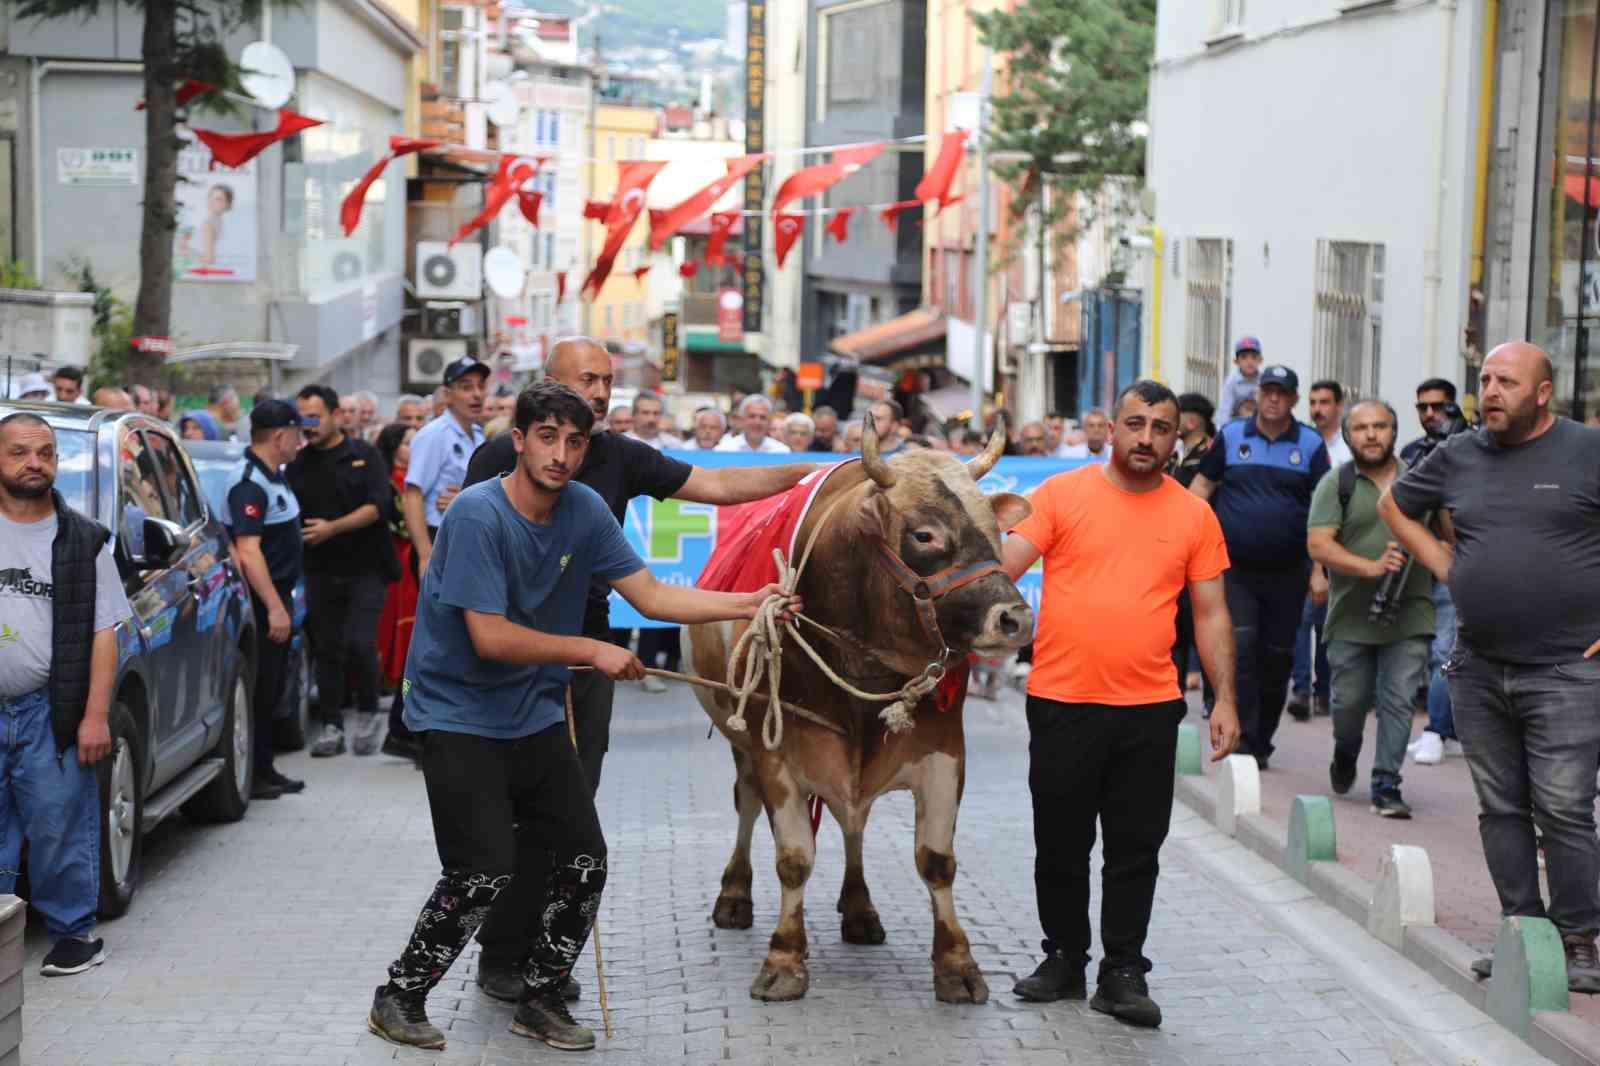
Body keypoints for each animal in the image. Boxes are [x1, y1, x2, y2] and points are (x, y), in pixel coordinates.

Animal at [681, 419, 1030, 998]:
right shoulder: (778, 754)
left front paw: (957, 964)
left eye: (997, 532)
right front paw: (783, 960)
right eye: (925, 535)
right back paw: (734, 894)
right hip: (743, 746)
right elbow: (794, 859)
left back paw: (860, 909)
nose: (1016, 619)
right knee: (747, 804)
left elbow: (936, 861)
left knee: (854, 823)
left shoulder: (944, 752)